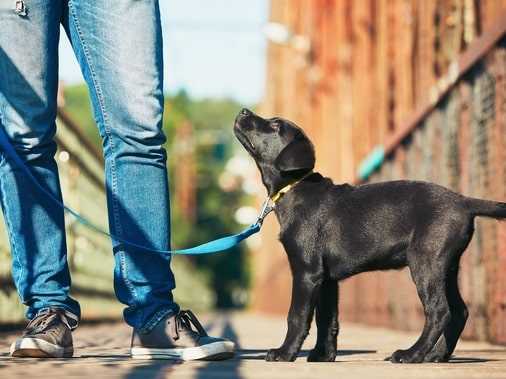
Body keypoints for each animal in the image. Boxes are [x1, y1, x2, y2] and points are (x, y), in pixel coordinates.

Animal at [235, 108, 506, 364]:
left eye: (275, 125)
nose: (243, 111)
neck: (295, 188)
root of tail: (464, 201)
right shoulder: (327, 279)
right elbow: (327, 320)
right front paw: (323, 355)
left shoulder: (306, 271)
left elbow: (297, 316)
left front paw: (284, 353)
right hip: (447, 266)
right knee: (459, 311)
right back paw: (436, 355)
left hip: (426, 262)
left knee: (439, 311)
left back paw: (411, 354)